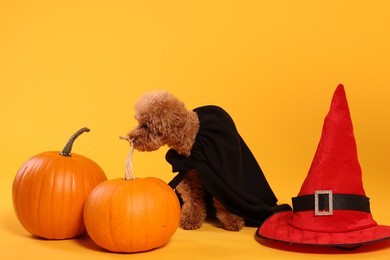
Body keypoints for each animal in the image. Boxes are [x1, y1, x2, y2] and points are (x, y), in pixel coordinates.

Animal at [128, 90, 244, 231]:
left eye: (146, 125)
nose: (130, 137)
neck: (191, 140)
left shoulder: (220, 178)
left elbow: (224, 198)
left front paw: (233, 220)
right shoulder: (189, 177)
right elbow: (193, 200)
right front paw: (190, 220)